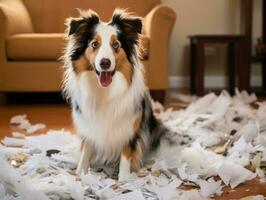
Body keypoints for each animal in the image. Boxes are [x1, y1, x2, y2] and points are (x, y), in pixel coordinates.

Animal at [62, 8, 175, 181]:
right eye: (94, 44)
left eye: (116, 45)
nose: (105, 63)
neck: (105, 92)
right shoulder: (88, 128)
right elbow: (85, 154)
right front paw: (80, 176)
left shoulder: (130, 131)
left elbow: (125, 158)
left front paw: (124, 181)